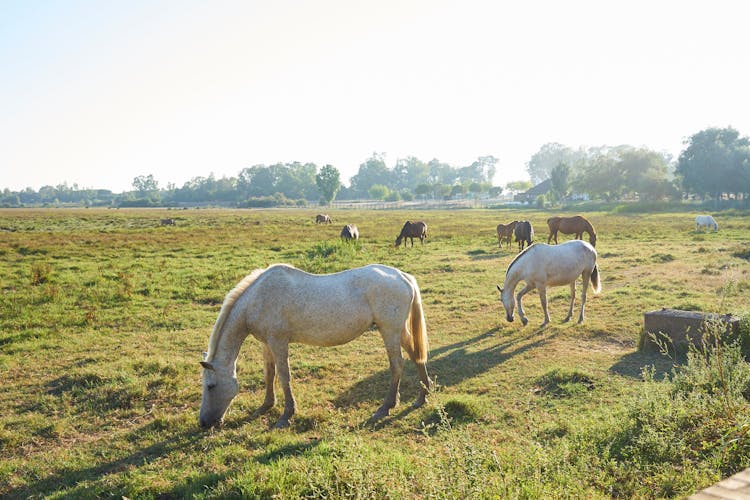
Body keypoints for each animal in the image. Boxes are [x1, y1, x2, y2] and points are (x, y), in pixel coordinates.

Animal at [200, 264, 432, 428]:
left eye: (210, 386)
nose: (203, 423)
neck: (258, 298)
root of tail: (403, 276)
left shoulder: (278, 342)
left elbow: (284, 376)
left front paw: (286, 415)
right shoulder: (267, 343)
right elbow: (269, 373)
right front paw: (265, 406)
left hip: (389, 331)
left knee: (397, 365)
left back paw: (386, 407)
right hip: (398, 331)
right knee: (416, 355)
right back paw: (422, 396)